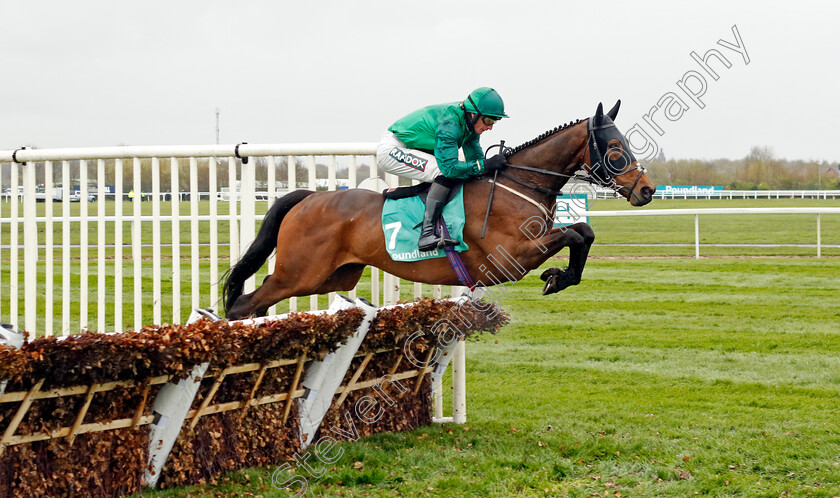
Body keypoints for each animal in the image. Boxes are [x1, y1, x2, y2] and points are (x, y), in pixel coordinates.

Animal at [223, 100, 656, 320]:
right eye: (615, 148)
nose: (647, 190)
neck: (518, 184)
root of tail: (308, 197)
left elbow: (584, 232)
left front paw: (560, 277)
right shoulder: (512, 258)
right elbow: (574, 232)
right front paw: (557, 276)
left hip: (331, 277)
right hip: (299, 272)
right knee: (245, 303)